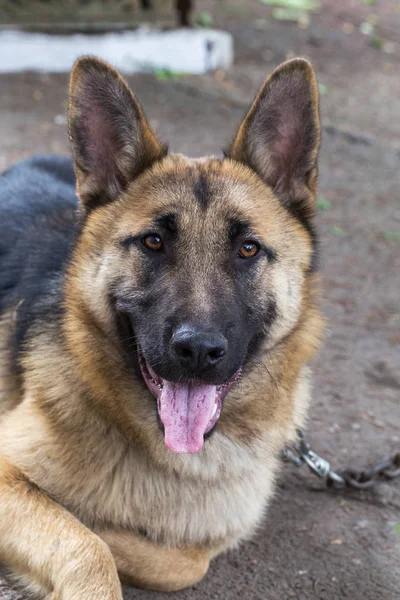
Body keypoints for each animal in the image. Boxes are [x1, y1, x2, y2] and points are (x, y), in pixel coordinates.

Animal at [0, 55, 324, 596]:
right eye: (153, 242)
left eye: (248, 249)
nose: (197, 352)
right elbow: (90, 546)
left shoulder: (204, 541)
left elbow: (182, 561)